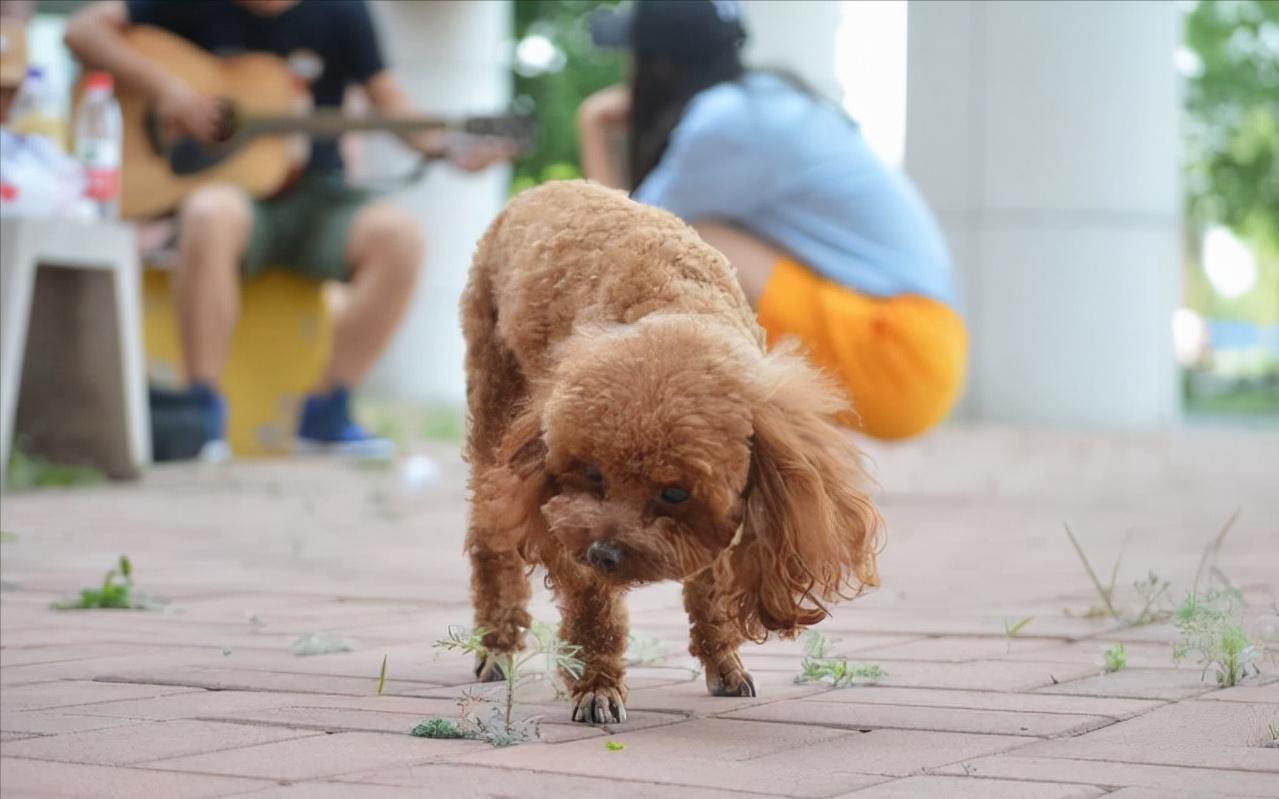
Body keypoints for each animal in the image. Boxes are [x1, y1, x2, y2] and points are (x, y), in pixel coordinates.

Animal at [465, 178, 885, 721]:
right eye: (592, 473)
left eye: (675, 493)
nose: (603, 552)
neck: (673, 304)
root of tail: (546, 187)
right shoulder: (564, 511)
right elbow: (593, 605)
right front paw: (598, 686)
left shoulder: (721, 512)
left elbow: (709, 587)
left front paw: (723, 663)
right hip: (493, 399)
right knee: (490, 538)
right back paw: (495, 646)